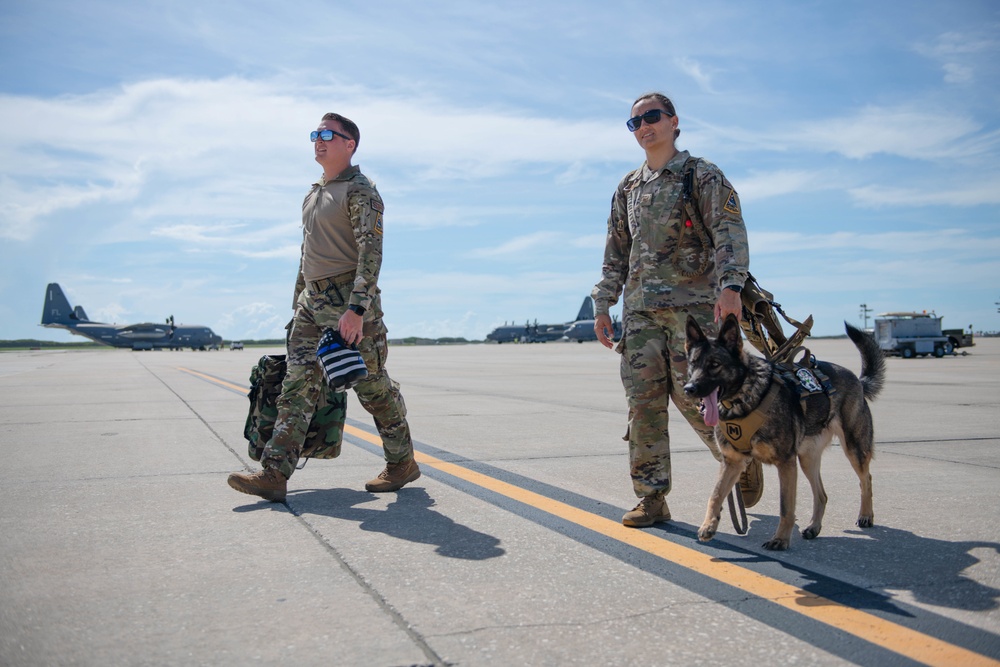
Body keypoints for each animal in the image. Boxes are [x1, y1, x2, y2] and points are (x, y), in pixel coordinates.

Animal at [684, 316, 888, 552]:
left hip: (854, 449)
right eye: (693, 364)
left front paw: (780, 539)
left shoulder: (785, 463)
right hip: (807, 460)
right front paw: (708, 525)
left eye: (715, 365)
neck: (745, 398)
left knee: (866, 480)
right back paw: (814, 527)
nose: (689, 389)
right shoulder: (733, 463)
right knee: (822, 495)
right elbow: (715, 495)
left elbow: (785, 507)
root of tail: (858, 381)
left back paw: (866, 515)